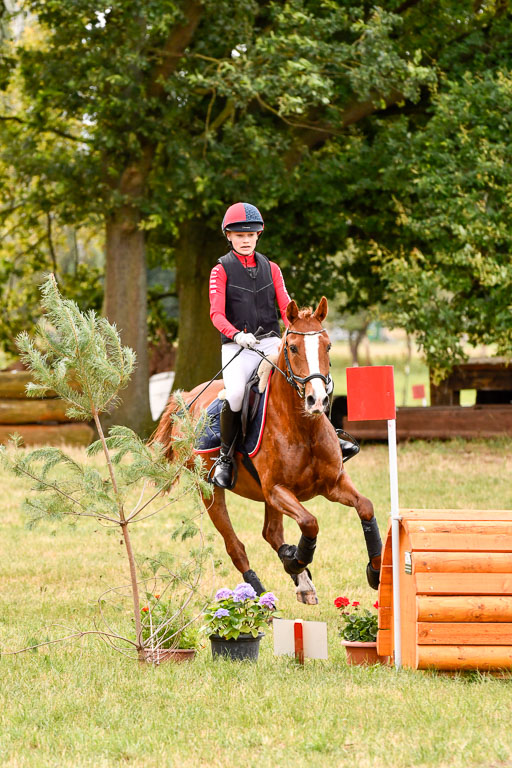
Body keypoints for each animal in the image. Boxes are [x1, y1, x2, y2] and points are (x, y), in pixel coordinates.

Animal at [154, 296, 382, 604]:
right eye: (293, 347)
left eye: (328, 346)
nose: (317, 400)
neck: (303, 428)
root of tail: (188, 398)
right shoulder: (276, 489)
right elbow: (310, 522)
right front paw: (294, 560)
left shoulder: (332, 483)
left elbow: (365, 507)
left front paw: (375, 570)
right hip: (210, 489)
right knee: (235, 545)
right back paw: (259, 591)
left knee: (271, 532)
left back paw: (302, 582)